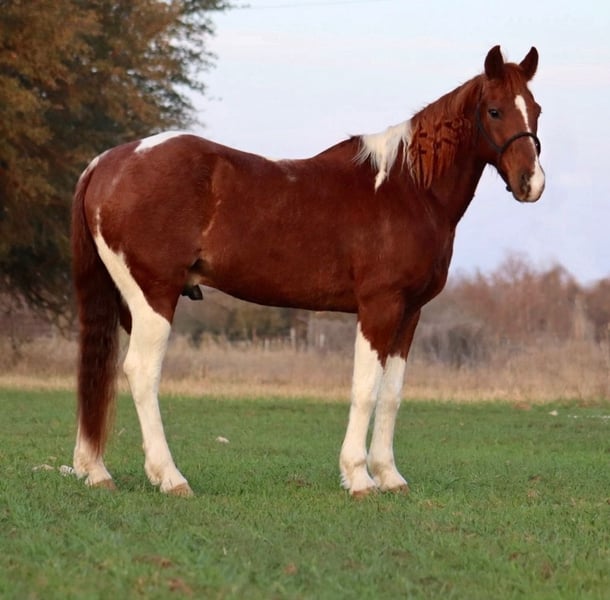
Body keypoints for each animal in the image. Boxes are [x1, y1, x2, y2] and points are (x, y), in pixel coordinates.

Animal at [71, 45, 544, 497]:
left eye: (536, 110)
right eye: (495, 110)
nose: (531, 183)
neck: (409, 189)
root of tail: (106, 163)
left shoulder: (410, 313)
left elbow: (391, 394)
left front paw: (390, 476)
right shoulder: (379, 307)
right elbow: (365, 389)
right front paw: (359, 477)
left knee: (99, 369)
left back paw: (95, 471)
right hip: (154, 295)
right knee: (141, 372)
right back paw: (170, 477)